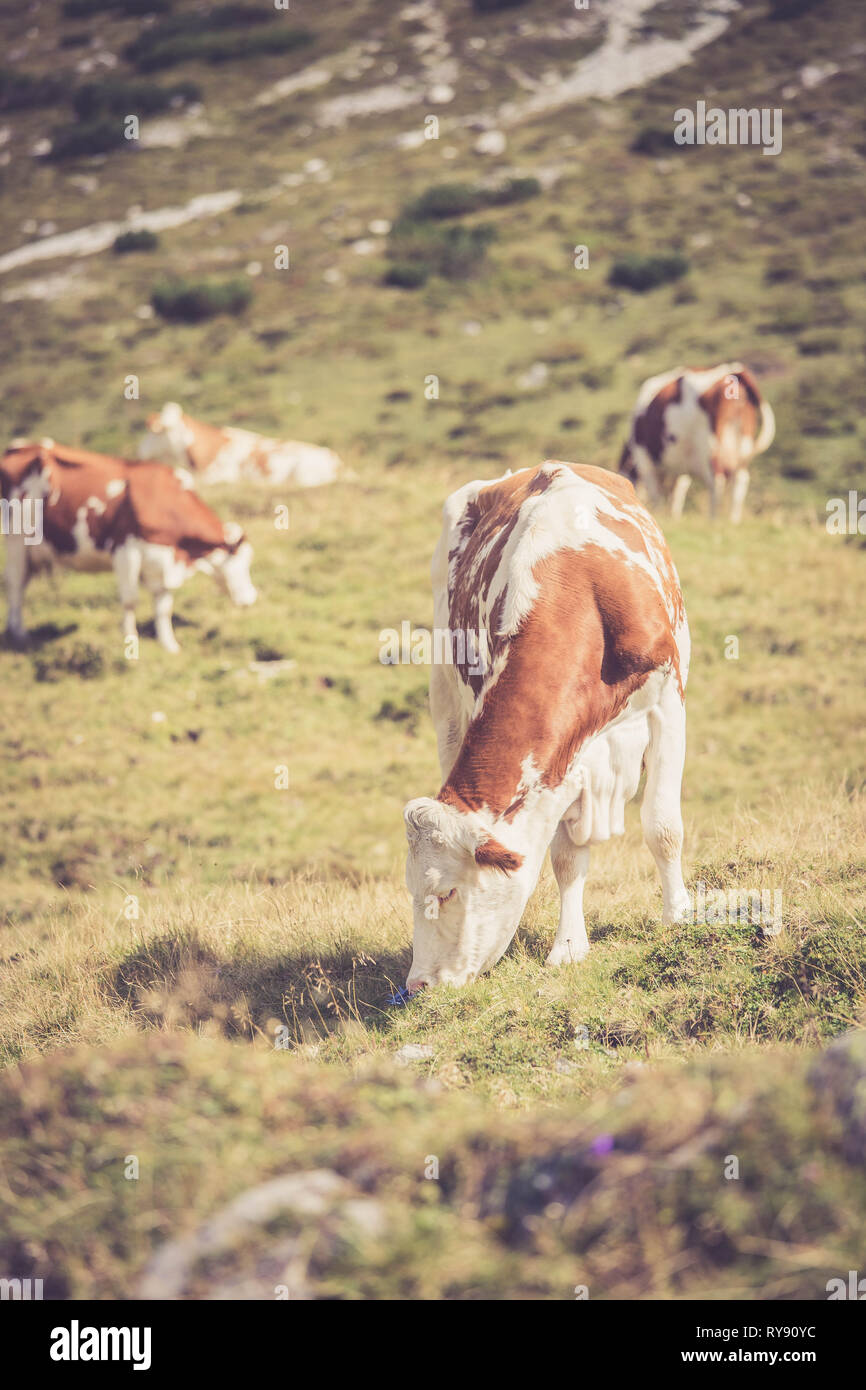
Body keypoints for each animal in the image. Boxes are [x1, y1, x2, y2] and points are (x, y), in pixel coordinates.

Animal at [1, 439, 256, 653]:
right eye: (239, 562)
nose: (251, 598)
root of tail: (19, 448)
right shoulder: (125, 551)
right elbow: (130, 600)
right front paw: (130, 638)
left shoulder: (162, 559)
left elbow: (164, 607)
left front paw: (169, 645)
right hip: (16, 540)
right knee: (15, 585)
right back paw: (19, 633)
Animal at [403, 460, 690, 992]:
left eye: (446, 892)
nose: (418, 984)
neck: (583, 593)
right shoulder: (559, 765)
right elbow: (566, 858)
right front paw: (569, 947)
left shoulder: (666, 704)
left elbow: (663, 826)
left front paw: (678, 916)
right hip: (445, 698)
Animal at [617, 363, 775, 522]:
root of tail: (734, 370)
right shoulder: (679, 464)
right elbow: (678, 492)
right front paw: (674, 517)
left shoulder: (643, 458)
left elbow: (656, 494)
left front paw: (659, 514)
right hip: (742, 443)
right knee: (739, 481)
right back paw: (733, 521)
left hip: (709, 445)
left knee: (716, 481)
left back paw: (714, 520)